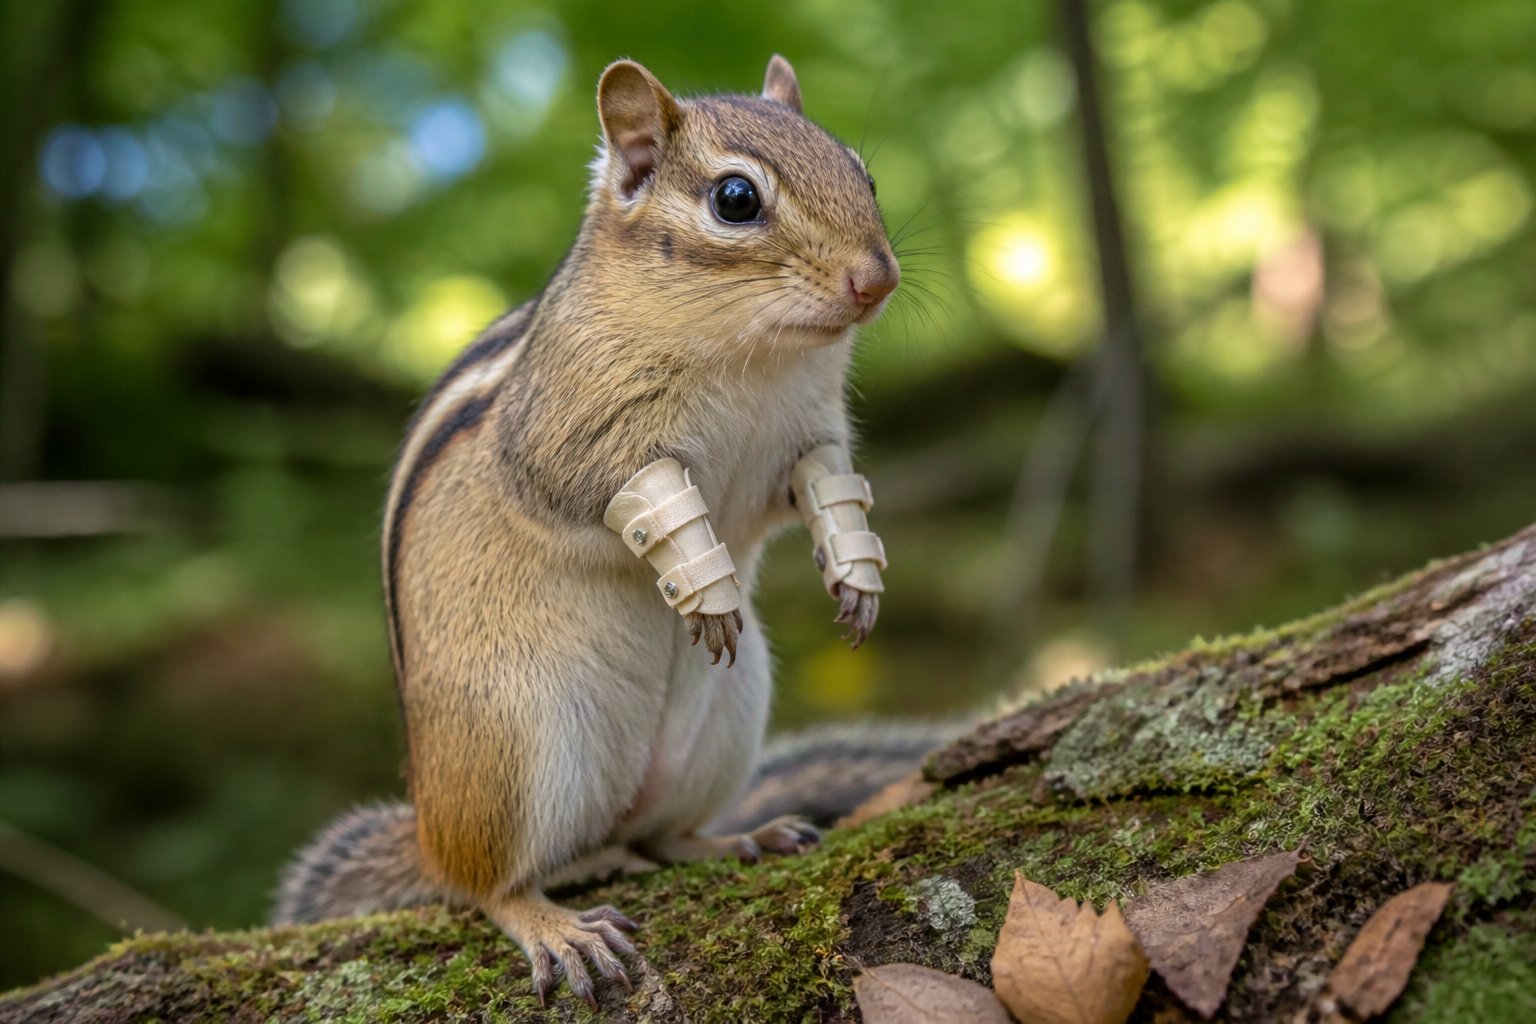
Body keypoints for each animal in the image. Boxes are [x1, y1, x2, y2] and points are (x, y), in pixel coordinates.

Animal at [273, 55, 912, 1006]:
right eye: (735, 199)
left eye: (862, 174)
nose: (878, 280)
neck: (755, 357)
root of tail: (428, 828)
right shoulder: (568, 438)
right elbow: (637, 496)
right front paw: (705, 588)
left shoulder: (806, 441)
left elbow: (821, 492)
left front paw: (857, 576)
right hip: (517, 746)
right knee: (486, 886)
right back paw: (554, 926)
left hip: (727, 720)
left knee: (655, 837)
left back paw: (736, 837)